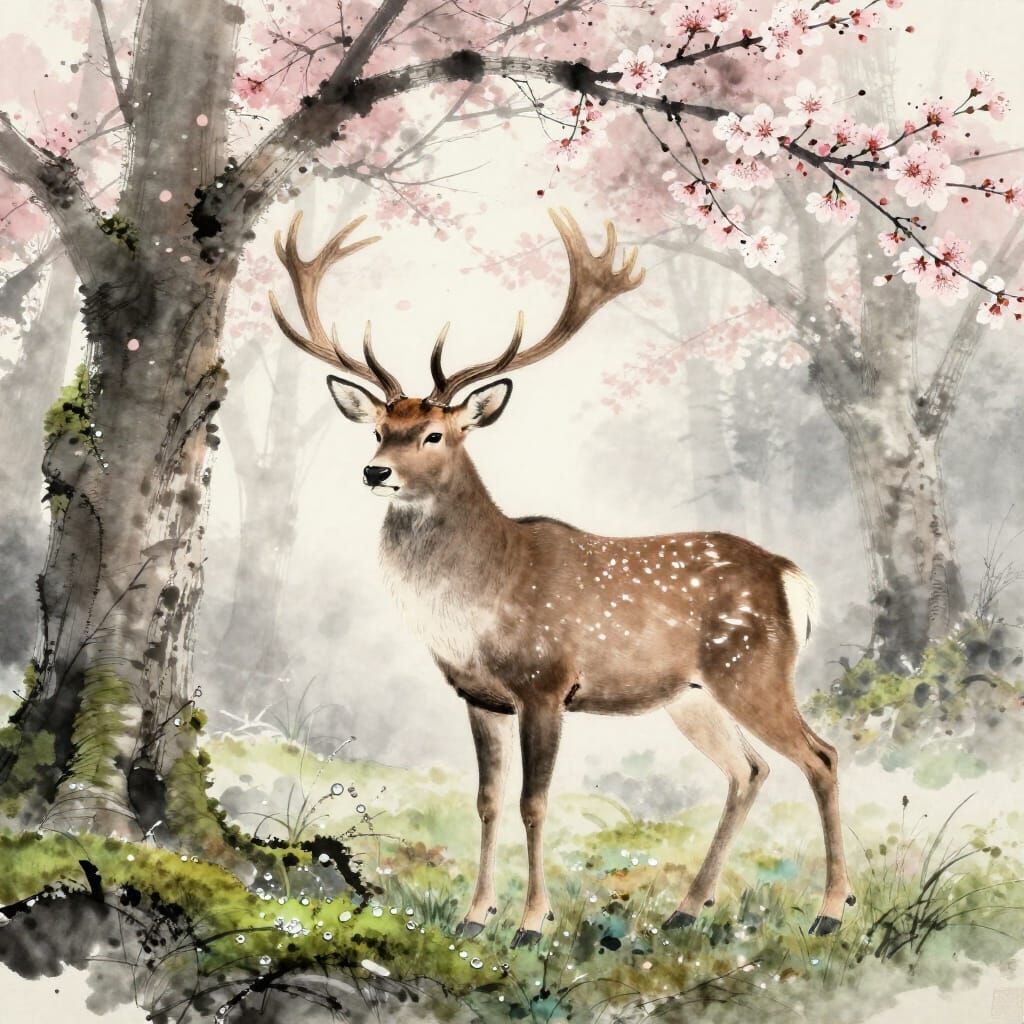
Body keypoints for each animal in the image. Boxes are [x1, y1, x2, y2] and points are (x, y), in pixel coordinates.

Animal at [268, 208, 854, 947]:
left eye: (435, 435)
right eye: (377, 427)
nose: (376, 472)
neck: (479, 602)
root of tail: (790, 577)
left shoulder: (545, 682)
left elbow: (534, 801)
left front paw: (530, 923)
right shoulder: (480, 696)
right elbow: (488, 801)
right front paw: (473, 917)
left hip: (753, 668)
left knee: (821, 756)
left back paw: (831, 910)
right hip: (691, 695)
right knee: (750, 769)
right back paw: (687, 909)